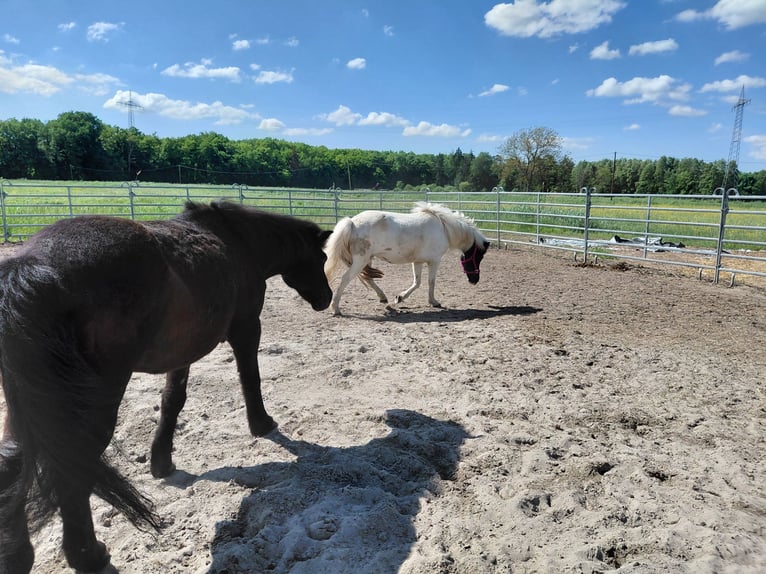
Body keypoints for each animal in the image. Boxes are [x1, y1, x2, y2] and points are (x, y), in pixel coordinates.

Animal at [0, 200, 332, 574]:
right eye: (321, 258)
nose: (326, 298)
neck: (239, 241)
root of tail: (31, 268)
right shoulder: (247, 327)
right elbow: (251, 378)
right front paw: (262, 424)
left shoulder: (182, 351)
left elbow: (173, 400)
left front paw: (161, 462)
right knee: (73, 470)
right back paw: (89, 555)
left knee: (13, 463)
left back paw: (17, 556)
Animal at [324, 202, 490, 315]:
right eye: (479, 256)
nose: (474, 280)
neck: (444, 228)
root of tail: (352, 223)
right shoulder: (434, 261)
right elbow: (431, 282)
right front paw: (434, 302)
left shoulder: (418, 261)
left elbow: (417, 282)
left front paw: (400, 298)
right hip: (360, 260)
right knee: (346, 279)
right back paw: (336, 308)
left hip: (367, 260)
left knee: (369, 279)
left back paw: (383, 298)